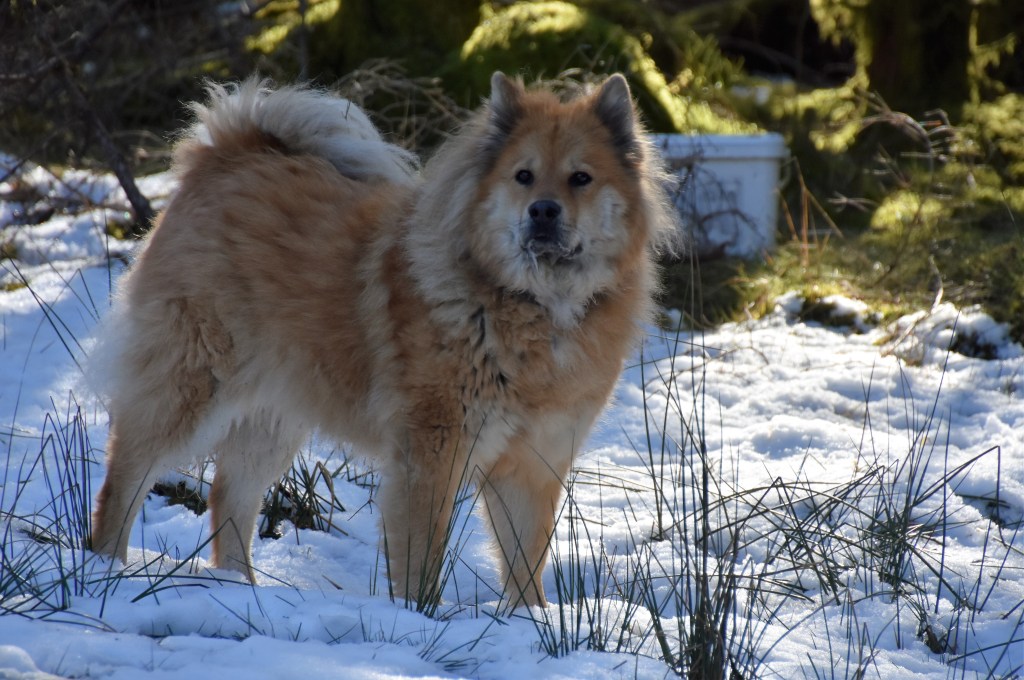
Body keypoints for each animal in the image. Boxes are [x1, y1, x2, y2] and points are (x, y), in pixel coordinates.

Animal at [89, 72, 677, 610]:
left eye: (581, 178)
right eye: (524, 176)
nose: (543, 211)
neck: (535, 305)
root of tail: (227, 154)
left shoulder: (534, 463)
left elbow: (524, 564)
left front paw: (532, 627)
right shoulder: (431, 451)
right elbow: (421, 556)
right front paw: (421, 618)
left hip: (276, 413)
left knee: (229, 496)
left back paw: (241, 592)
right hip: (191, 386)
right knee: (127, 477)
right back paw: (106, 571)